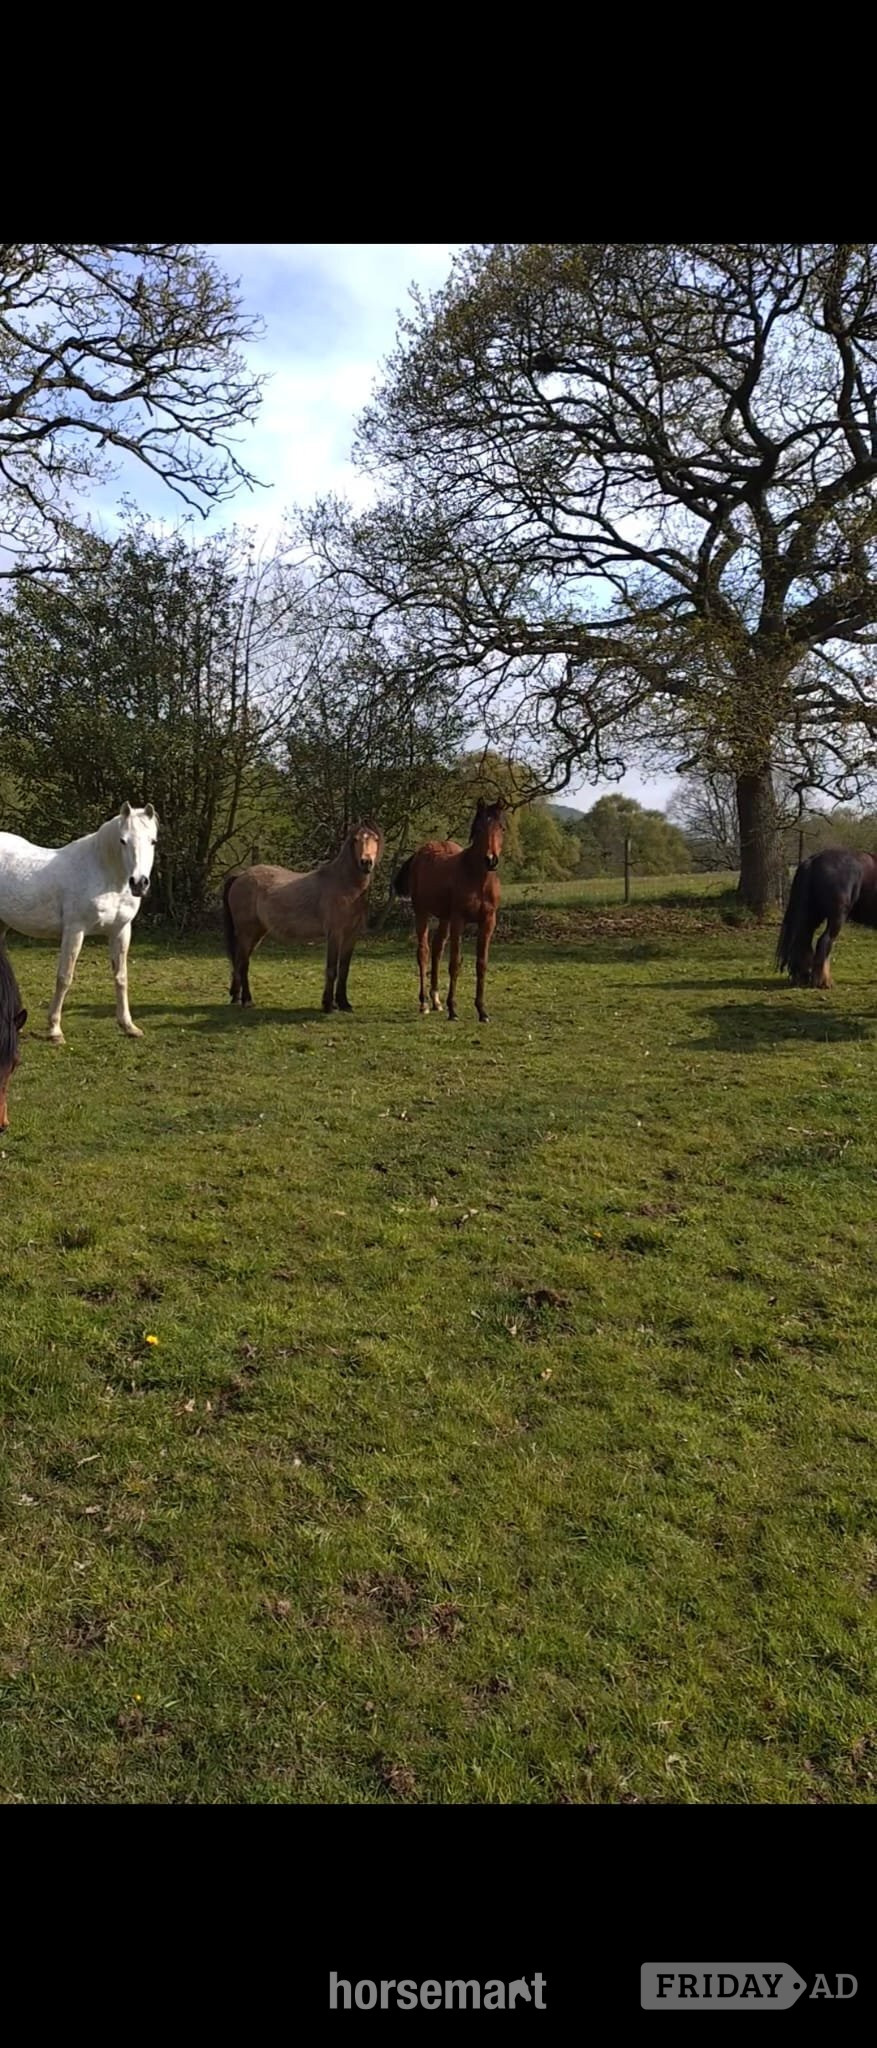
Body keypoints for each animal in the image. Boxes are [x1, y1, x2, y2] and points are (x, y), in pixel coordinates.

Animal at [0, 803, 158, 1045]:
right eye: (123, 840)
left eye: (153, 841)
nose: (139, 883)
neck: (103, 873)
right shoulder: (75, 931)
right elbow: (64, 978)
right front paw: (55, 1030)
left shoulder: (120, 931)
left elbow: (121, 977)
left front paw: (128, 1026)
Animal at [222, 823, 384, 1012]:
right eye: (356, 839)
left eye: (376, 839)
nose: (366, 862)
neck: (345, 885)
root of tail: (240, 876)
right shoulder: (335, 934)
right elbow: (332, 969)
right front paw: (328, 1005)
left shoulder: (351, 935)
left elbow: (344, 969)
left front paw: (344, 1004)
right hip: (246, 932)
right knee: (244, 964)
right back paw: (247, 1000)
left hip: (256, 933)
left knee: (239, 961)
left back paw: (236, 997)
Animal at [393, 798, 505, 1022]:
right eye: (479, 828)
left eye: (500, 827)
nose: (491, 859)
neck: (478, 880)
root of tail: (420, 852)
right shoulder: (459, 920)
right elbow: (454, 963)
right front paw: (453, 1010)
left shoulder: (488, 921)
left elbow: (481, 964)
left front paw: (482, 1011)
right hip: (422, 912)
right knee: (424, 952)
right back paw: (425, 1003)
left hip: (444, 918)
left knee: (437, 949)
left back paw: (436, 1000)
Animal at [776, 846, 877, 988]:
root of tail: (813, 860)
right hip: (837, 917)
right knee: (824, 941)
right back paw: (824, 981)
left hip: (813, 915)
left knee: (804, 940)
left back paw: (803, 977)